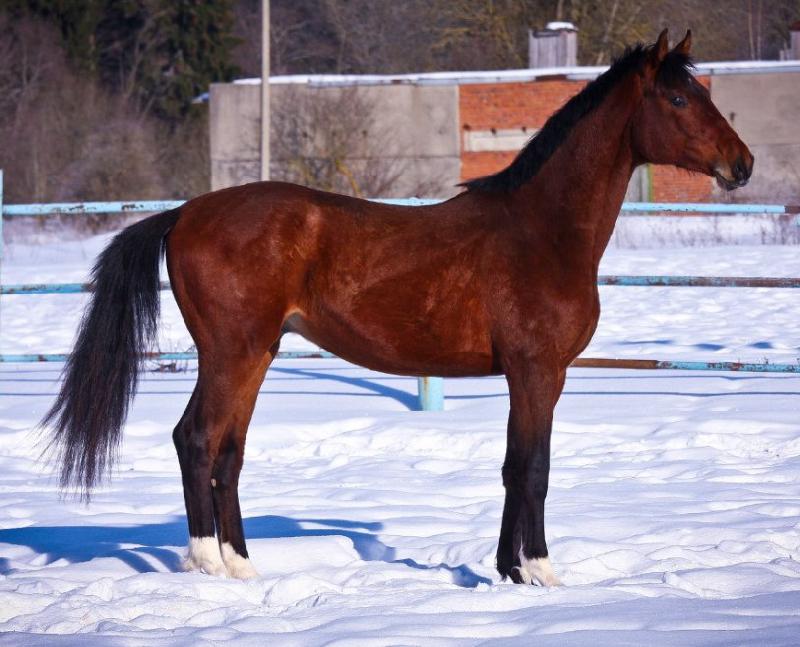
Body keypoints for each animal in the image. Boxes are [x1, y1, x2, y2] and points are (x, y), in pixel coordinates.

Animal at [42, 30, 752, 586]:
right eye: (680, 98)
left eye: (706, 92)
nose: (741, 164)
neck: (540, 231)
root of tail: (185, 212)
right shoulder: (538, 371)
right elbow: (533, 470)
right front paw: (541, 573)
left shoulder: (531, 376)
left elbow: (512, 468)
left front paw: (506, 571)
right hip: (231, 352)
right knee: (195, 439)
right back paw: (209, 565)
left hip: (257, 354)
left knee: (227, 453)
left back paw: (243, 566)